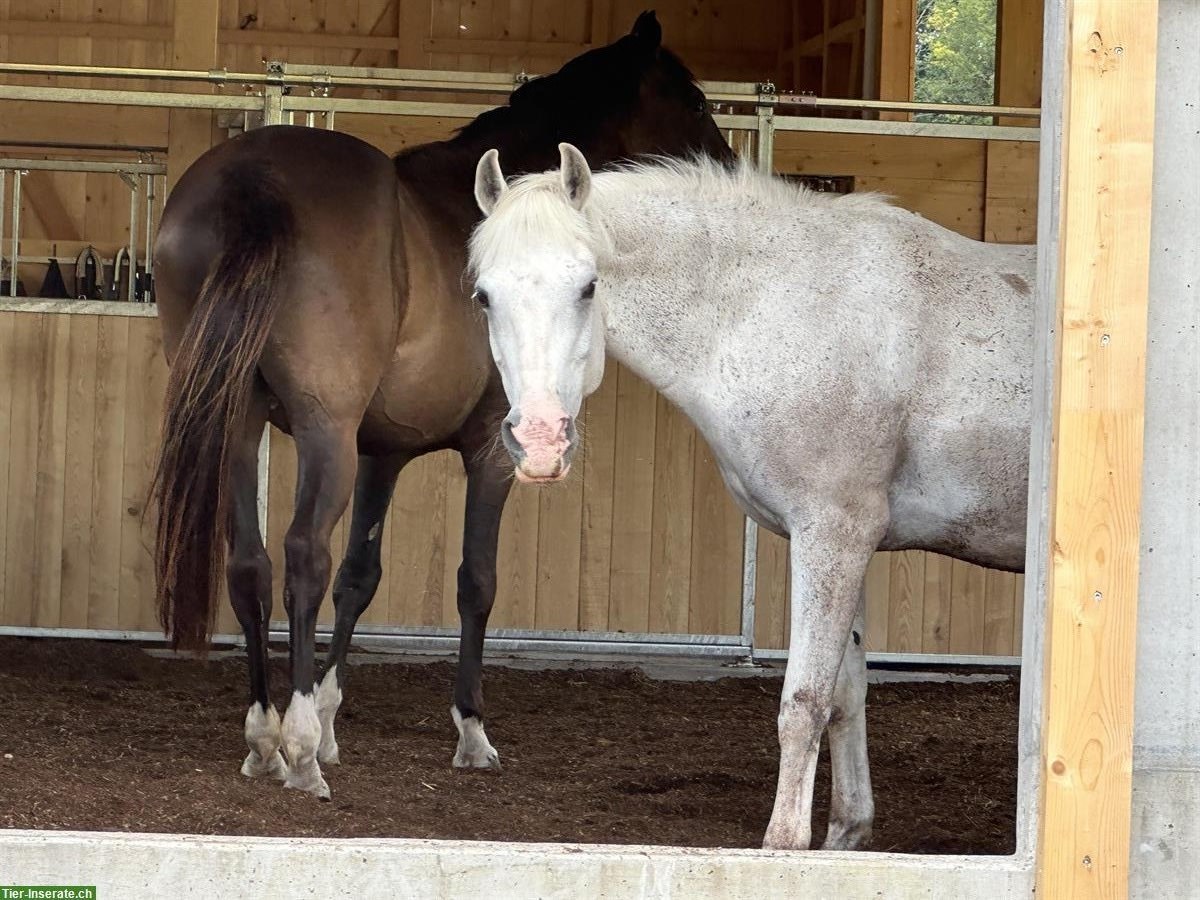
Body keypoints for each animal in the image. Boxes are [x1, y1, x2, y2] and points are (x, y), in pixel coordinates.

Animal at [150, 12, 729, 801]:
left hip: (236, 424)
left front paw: (330, 717)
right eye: (694, 101)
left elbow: (361, 578)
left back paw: (264, 736)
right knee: (302, 555)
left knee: (250, 564)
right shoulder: (490, 449)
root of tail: (252, 180)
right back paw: (296, 750)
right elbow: (474, 581)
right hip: (322, 432)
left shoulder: (382, 453)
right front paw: (469, 731)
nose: (725, 168)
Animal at [465, 144, 1032, 849]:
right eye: (484, 295)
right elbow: (846, 697)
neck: (792, 307)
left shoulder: (833, 534)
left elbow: (804, 703)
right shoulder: (850, 546)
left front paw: (784, 845)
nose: (540, 442)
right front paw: (846, 834)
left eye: (589, 286)